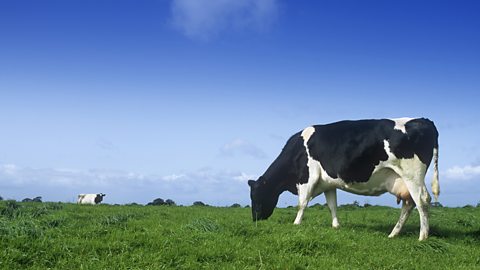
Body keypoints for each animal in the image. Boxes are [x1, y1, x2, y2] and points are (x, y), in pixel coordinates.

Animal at [249, 118, 440, 240]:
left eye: (256, 196)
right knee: (409, 203)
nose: (255, 219)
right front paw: (336, 226)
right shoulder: (328, 183)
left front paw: (296, 224)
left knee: (422, 200)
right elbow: (332, 205)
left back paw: (422, 237)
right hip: (403, 180)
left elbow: (302, 203)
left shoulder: (307, 177)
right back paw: (393, 234)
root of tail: (424, 120)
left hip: (412, 175)